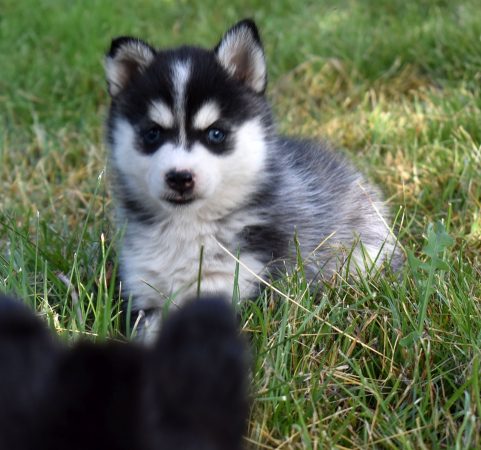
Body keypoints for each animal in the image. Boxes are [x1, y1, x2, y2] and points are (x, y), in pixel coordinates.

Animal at [105, 19, 402, 340]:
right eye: (152, 134)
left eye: (216, 133)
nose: (180, 177)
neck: (187, 227)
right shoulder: (143, 295)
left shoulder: (241, 283)